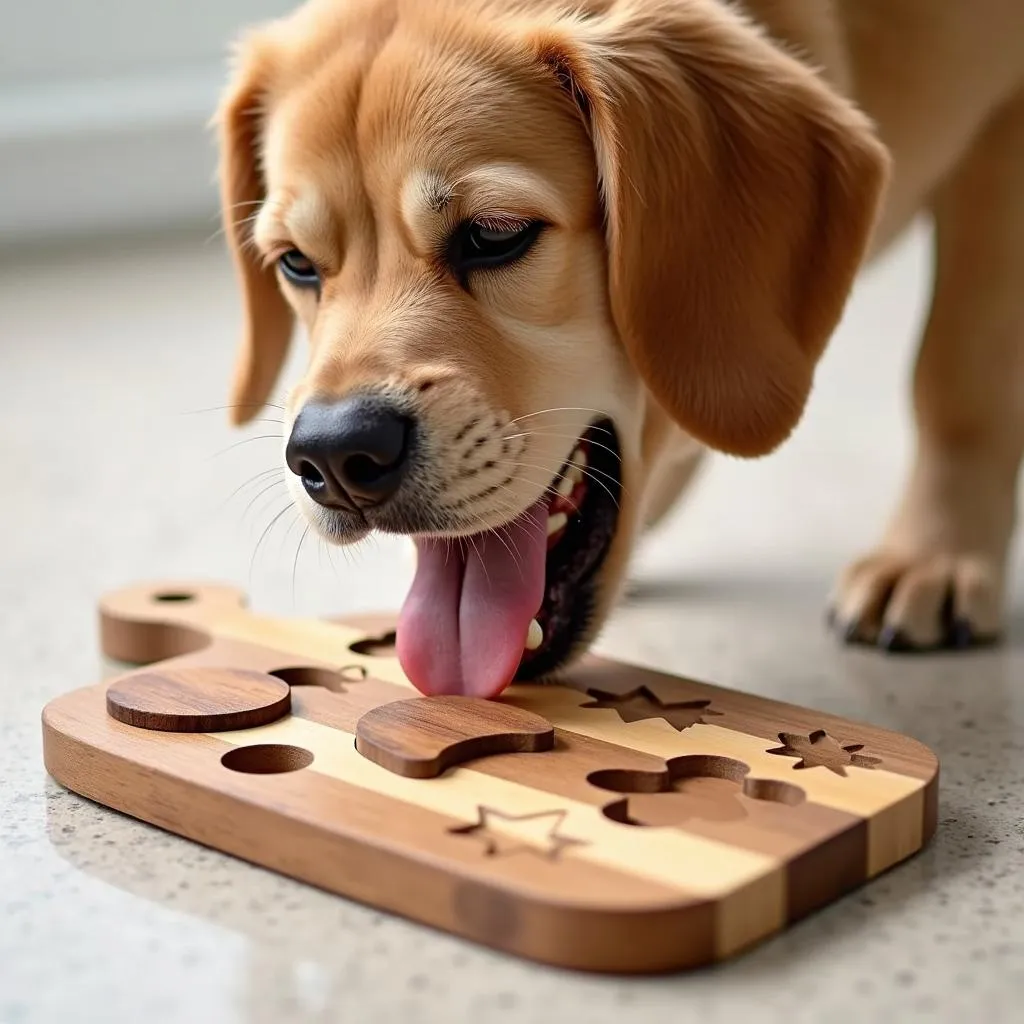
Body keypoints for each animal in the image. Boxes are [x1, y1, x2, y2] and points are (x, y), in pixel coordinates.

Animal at [214, 0, 1024, 696]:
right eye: (296, 263)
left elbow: (958, 375)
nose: (334, 456)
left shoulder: (1002, 129)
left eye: (496, 235)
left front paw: (933, 555)